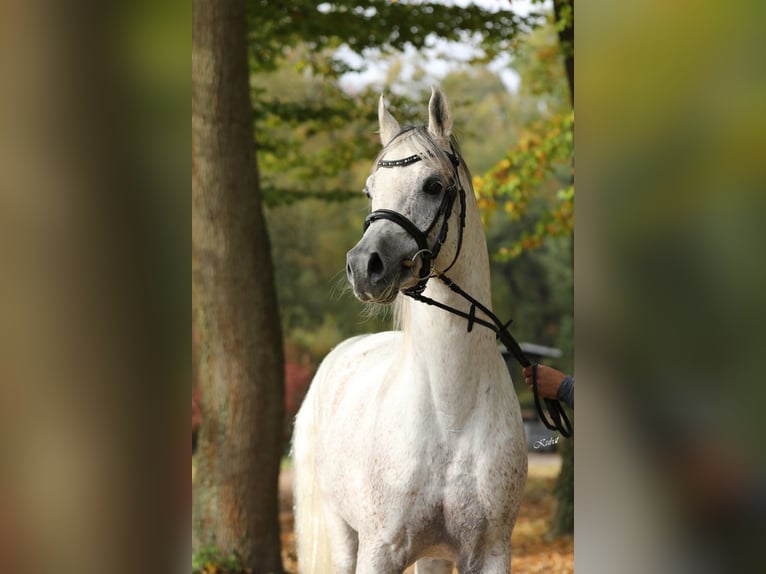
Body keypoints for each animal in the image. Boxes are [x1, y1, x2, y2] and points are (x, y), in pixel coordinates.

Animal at [292, 87, 528, 573]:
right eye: (370, 190)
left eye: (433, 185)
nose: (364, 266)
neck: (450, 413)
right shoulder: (379, 550)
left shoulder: (491, 551)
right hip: (342, 535)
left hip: (433, 556)